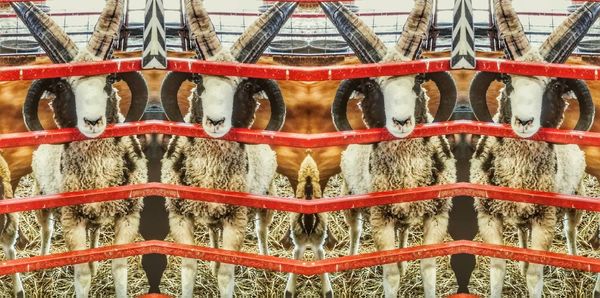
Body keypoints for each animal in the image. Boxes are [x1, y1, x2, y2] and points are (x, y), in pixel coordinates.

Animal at [159, 1, 296, 296]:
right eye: (199, 81)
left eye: (244, 88)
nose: (215, 121)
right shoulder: (180, 216)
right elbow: (189, 266)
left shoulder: (236, 219)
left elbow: (226, 272)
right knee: (213, 233)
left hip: (265, 198)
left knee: (262, 231)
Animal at [322, 1, 458, 296]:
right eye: (372, 88)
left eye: (418, 81)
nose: (401, 121)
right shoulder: (380, 219)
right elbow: (390, 272)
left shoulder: (437, 215)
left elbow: (428, 266)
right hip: (351, 197)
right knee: (355, 230)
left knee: (403, 233)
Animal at [468, 1, 600, 296]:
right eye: (507, 79)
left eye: (556, 85)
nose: (524, 120)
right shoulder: (490, 217)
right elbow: (497, 267)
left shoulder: (545, 219)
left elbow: (535, 274)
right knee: (522, 233)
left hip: (575, 197)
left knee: (570, 230)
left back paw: (575, 261)